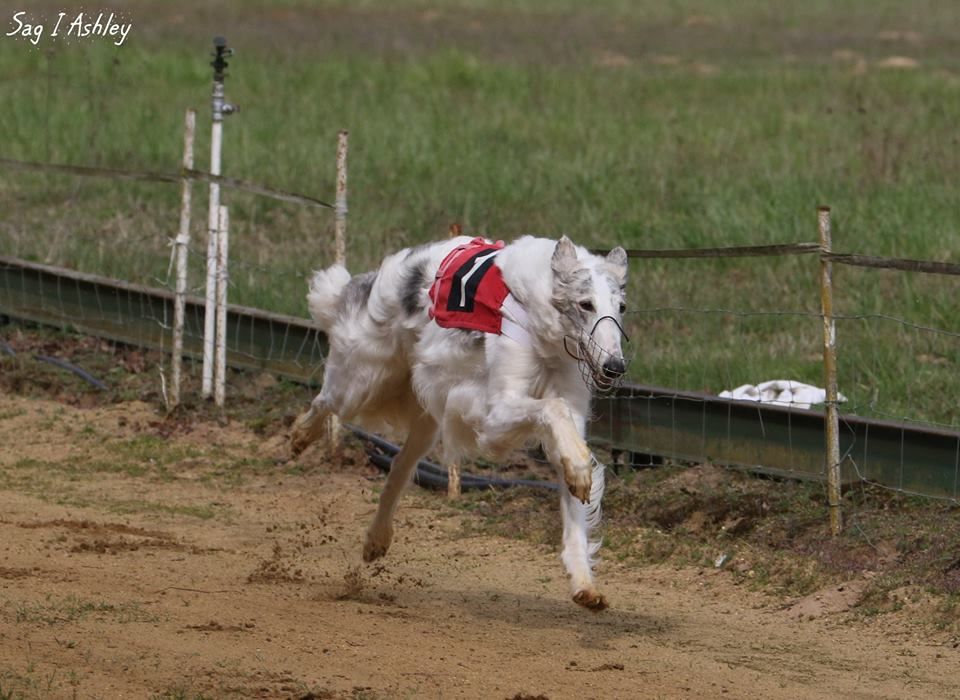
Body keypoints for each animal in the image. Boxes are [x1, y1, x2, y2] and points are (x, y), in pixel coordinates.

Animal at [292, 234, 632, 608]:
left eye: (621, 307)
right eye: (585, 304)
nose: (615, 367)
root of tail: (380, 274)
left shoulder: (567, 416)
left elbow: (574, 500)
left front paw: (584, 585)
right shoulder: (495, 413)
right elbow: (552, 408)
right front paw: (580, 470)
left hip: (428, 416)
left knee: (398, 468)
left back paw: (376, 539)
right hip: (363, 382)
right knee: (325, 400)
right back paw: (300, 435)